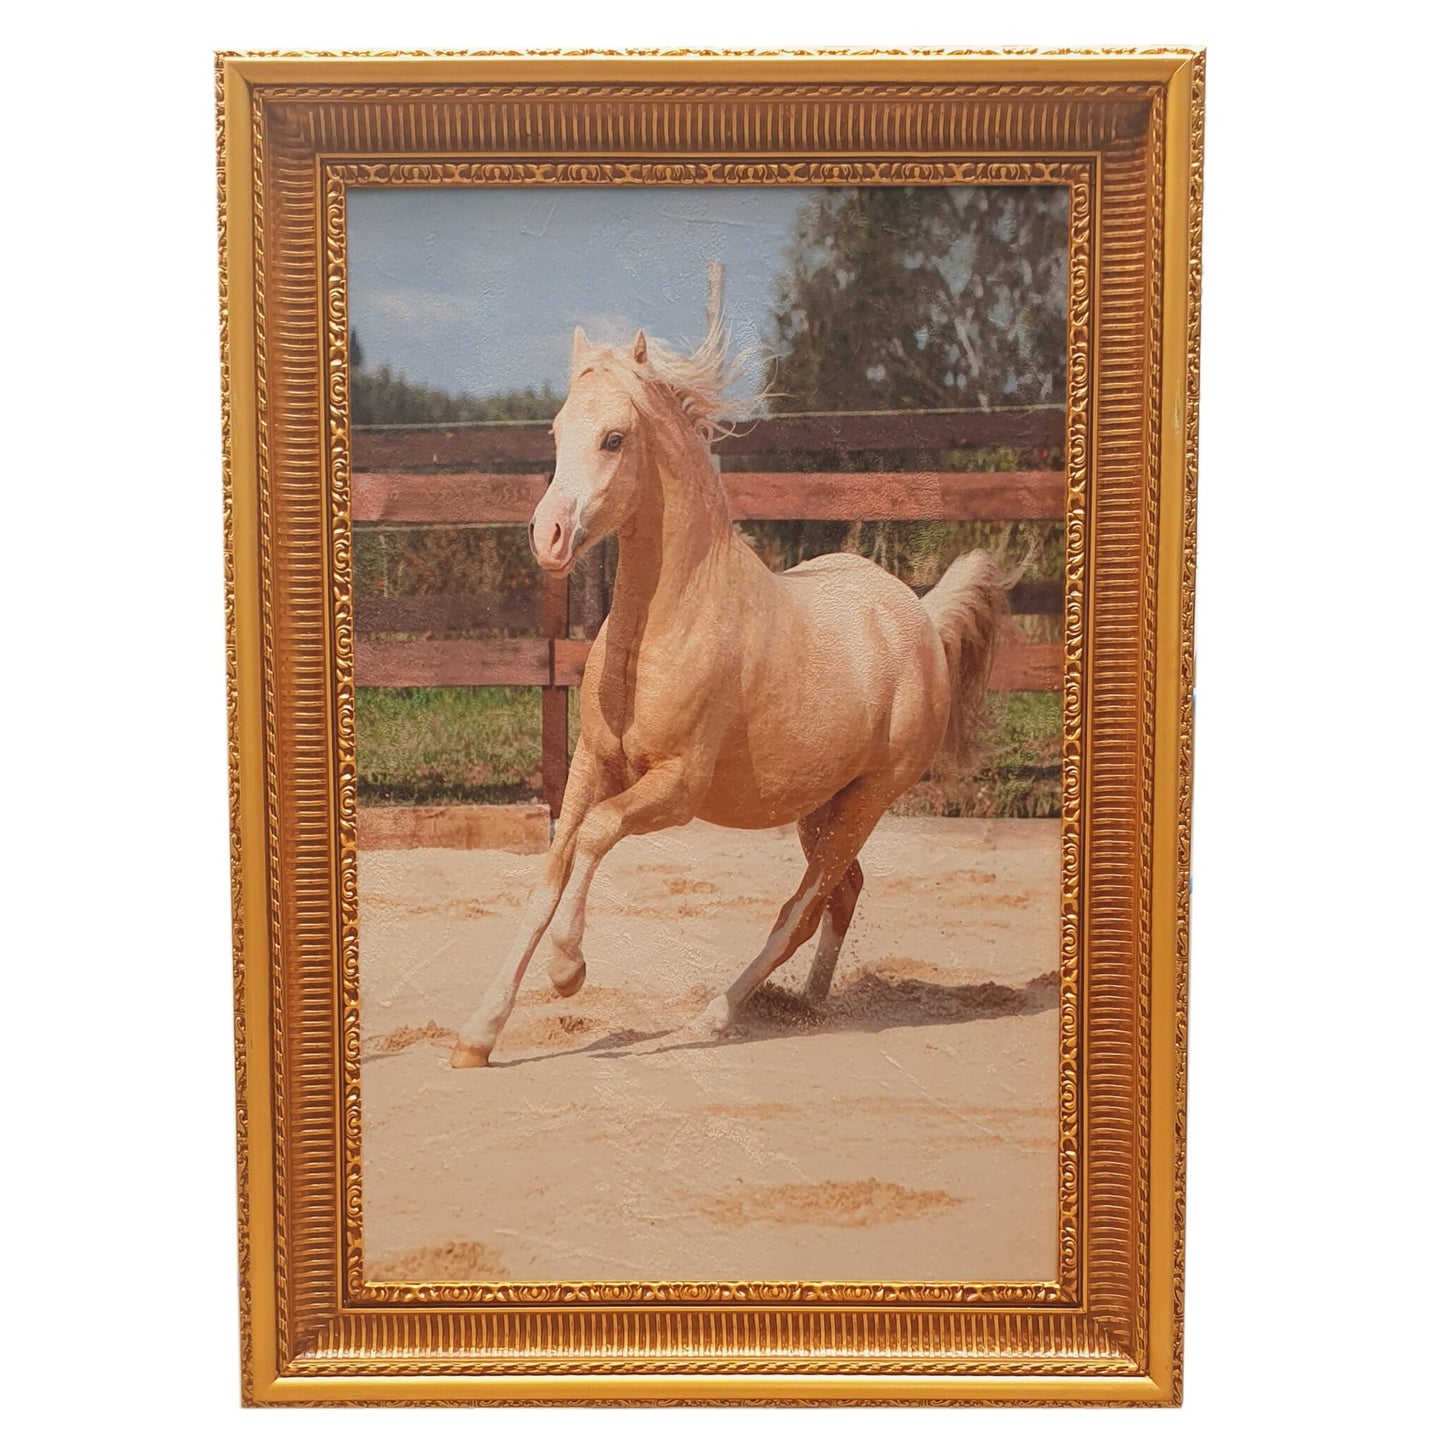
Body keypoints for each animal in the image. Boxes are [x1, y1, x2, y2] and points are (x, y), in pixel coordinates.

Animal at [450, 319, 1009, 1068]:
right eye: (557, 430)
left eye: (614, 438)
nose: (549, 535)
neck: (667, 625)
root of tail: (920, 615)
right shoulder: (592, 762)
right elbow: (551, 873)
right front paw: (478, 1036)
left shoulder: (677, 787)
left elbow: (597, 835)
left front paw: (568, 970)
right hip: (820, 808)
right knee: (842, 892)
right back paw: (809, 1002)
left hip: (867, 800)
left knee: (800, 909)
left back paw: (714, 1016)